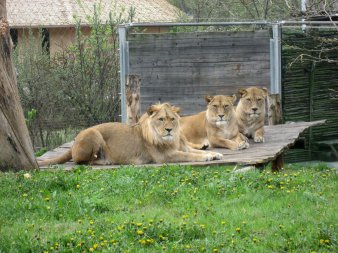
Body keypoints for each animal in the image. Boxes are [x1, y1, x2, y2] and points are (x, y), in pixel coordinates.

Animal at [37, 103, 222, 166]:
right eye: (161, 119)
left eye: (172, 119)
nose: (169, 130)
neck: (172, 139)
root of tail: (74, 141)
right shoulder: (165, 156)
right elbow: (190, 156)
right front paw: (206, 157)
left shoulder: (183, 147)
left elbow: (196, 151)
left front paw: (215, 154)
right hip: (94, 134)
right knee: (82, 161)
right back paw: (105, 161)